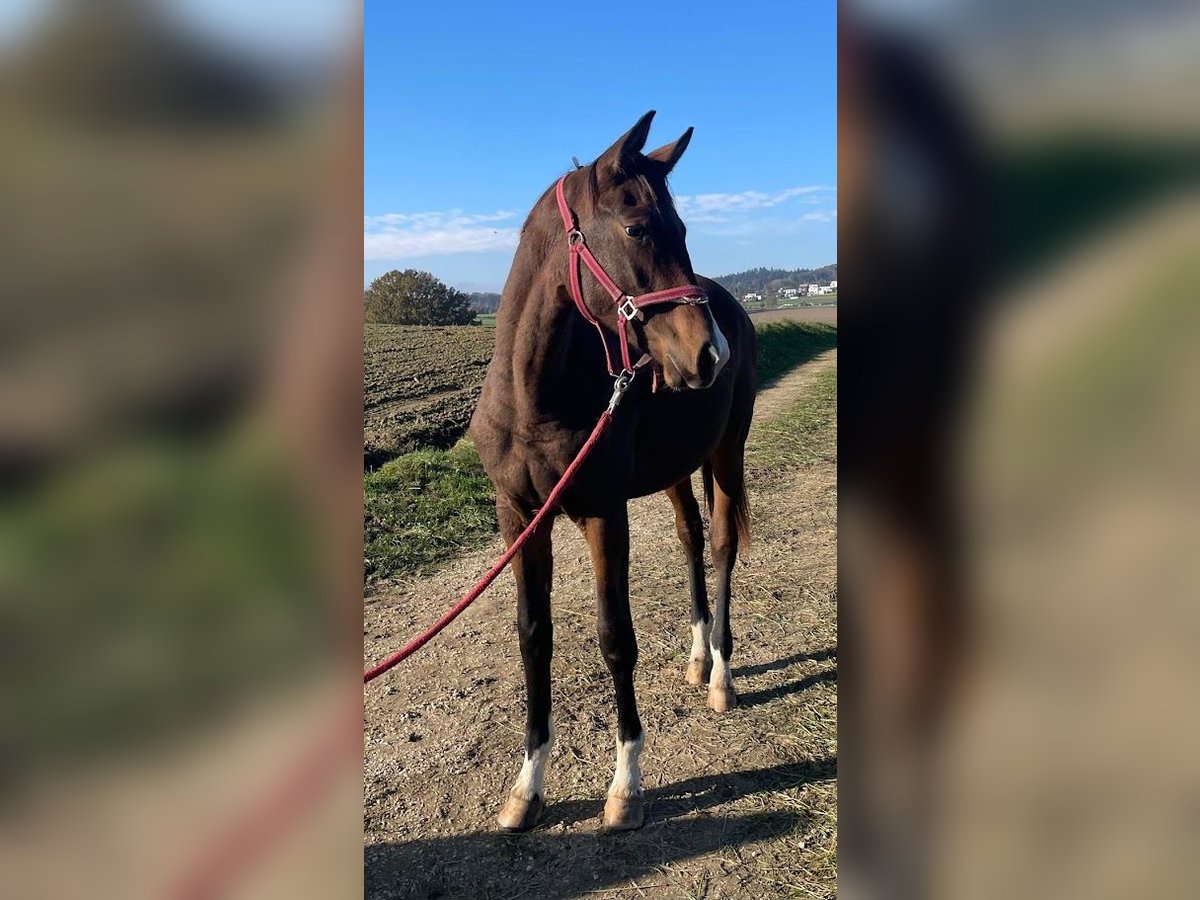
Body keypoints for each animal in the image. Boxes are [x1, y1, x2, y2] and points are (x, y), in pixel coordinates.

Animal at [465, 111, 753, 830]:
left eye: (685, 229)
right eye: (638, 228)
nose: (709, 353)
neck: (535, 396)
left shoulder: (603, 511)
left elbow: (614, 636)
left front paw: (626, 786)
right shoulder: (519, 516)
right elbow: (533, 636)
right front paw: (527, 787)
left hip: (727, 450)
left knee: (721, 544)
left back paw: (721, 676)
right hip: (677, 468)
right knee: (687, 539)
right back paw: (697, 658)